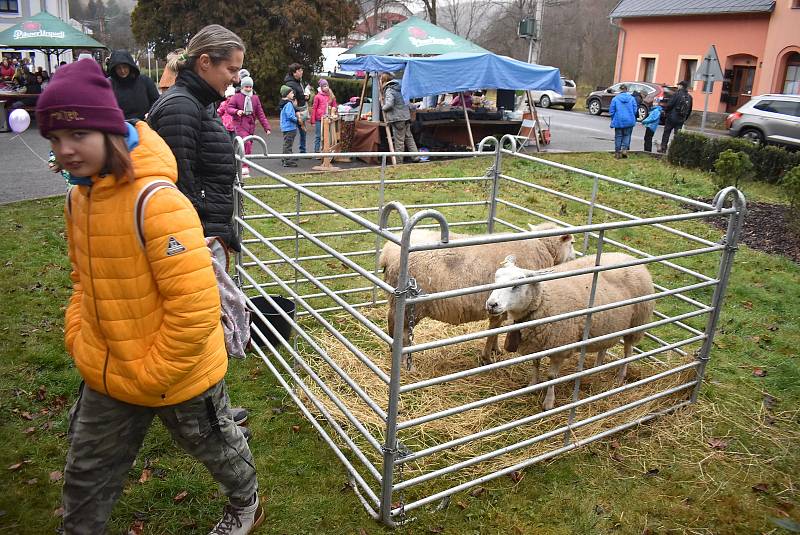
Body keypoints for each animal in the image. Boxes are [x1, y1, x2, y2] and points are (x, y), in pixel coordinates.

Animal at [382, 222, 576, 364]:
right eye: (572, 243)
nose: (574, 258)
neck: (542, 247)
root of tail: (388, 253)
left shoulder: (502, 306)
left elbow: (496, 328)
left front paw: (495, 350)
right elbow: (493, 329)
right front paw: (487, 358)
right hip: (411, 306)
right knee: (400, 330)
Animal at [484, 252, 652, 410]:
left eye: (516, 285)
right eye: (495, 280)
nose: (491, 304)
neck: (542, 300)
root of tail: (629, 256)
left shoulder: (560, 345)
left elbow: (551, 376)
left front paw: (548, 402)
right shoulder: (535, 344)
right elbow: (535, 365)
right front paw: (533, 385)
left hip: (636, 324)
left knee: (628, 353)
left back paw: (620, 377)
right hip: (609, 324)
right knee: (603, 347)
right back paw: (597, 368)